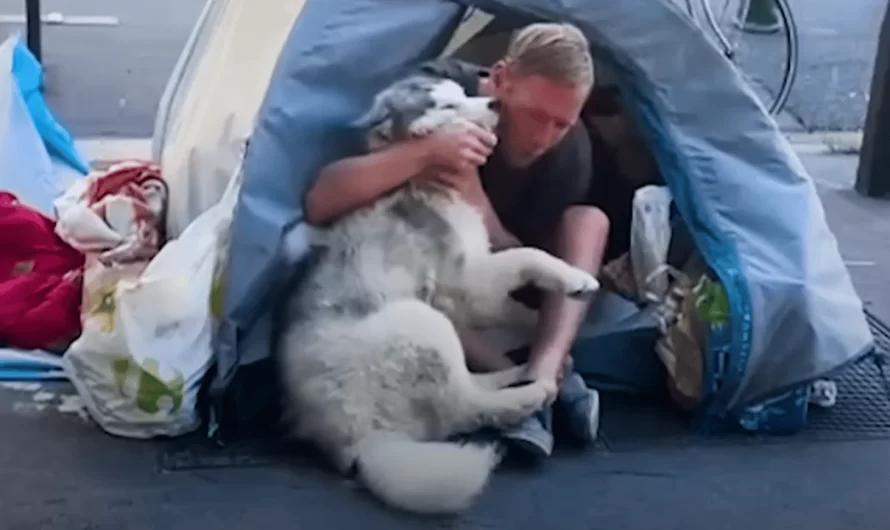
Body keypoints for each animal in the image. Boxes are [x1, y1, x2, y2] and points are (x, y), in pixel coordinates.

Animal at [278, 74, 596, 512]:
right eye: (446, 107)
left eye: (462, 93)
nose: (496, 104)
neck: (422, 181)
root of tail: (360, 440)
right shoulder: (467, 281)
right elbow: (530, 255)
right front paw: (577, 281)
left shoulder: (466, 293)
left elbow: (516, 302)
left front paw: (541, 321)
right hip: (423, 325)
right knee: (464, 408)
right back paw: (532, 391)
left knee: (468, 389)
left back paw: (523, 373)